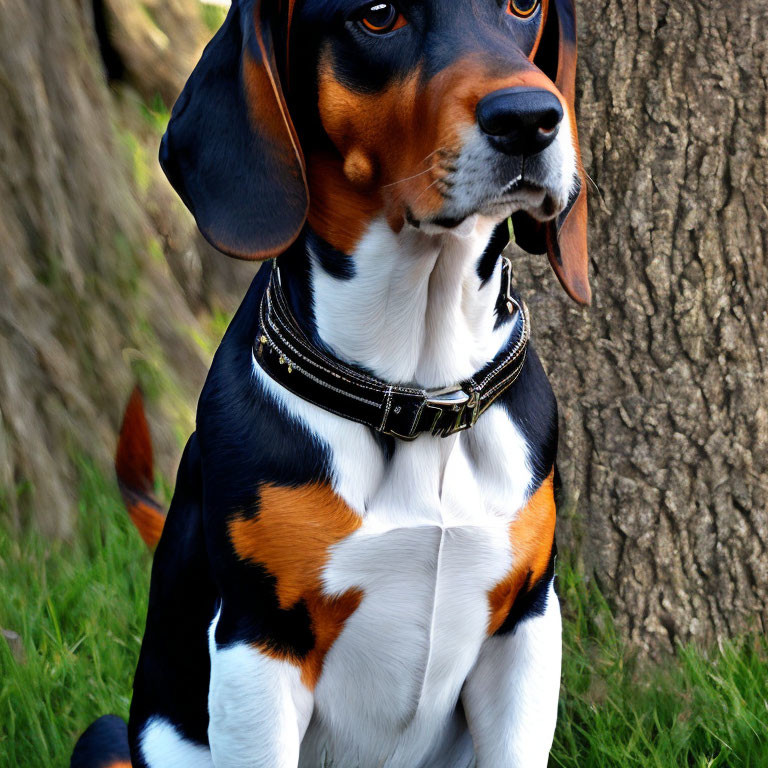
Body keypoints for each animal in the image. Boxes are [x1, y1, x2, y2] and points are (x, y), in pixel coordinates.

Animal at [70, 0, 588, 764]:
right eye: (377, 16)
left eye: (524, 7)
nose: (529, 118)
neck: (420, 389)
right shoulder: (260, 641)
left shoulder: (525, 625)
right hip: (109, 735)